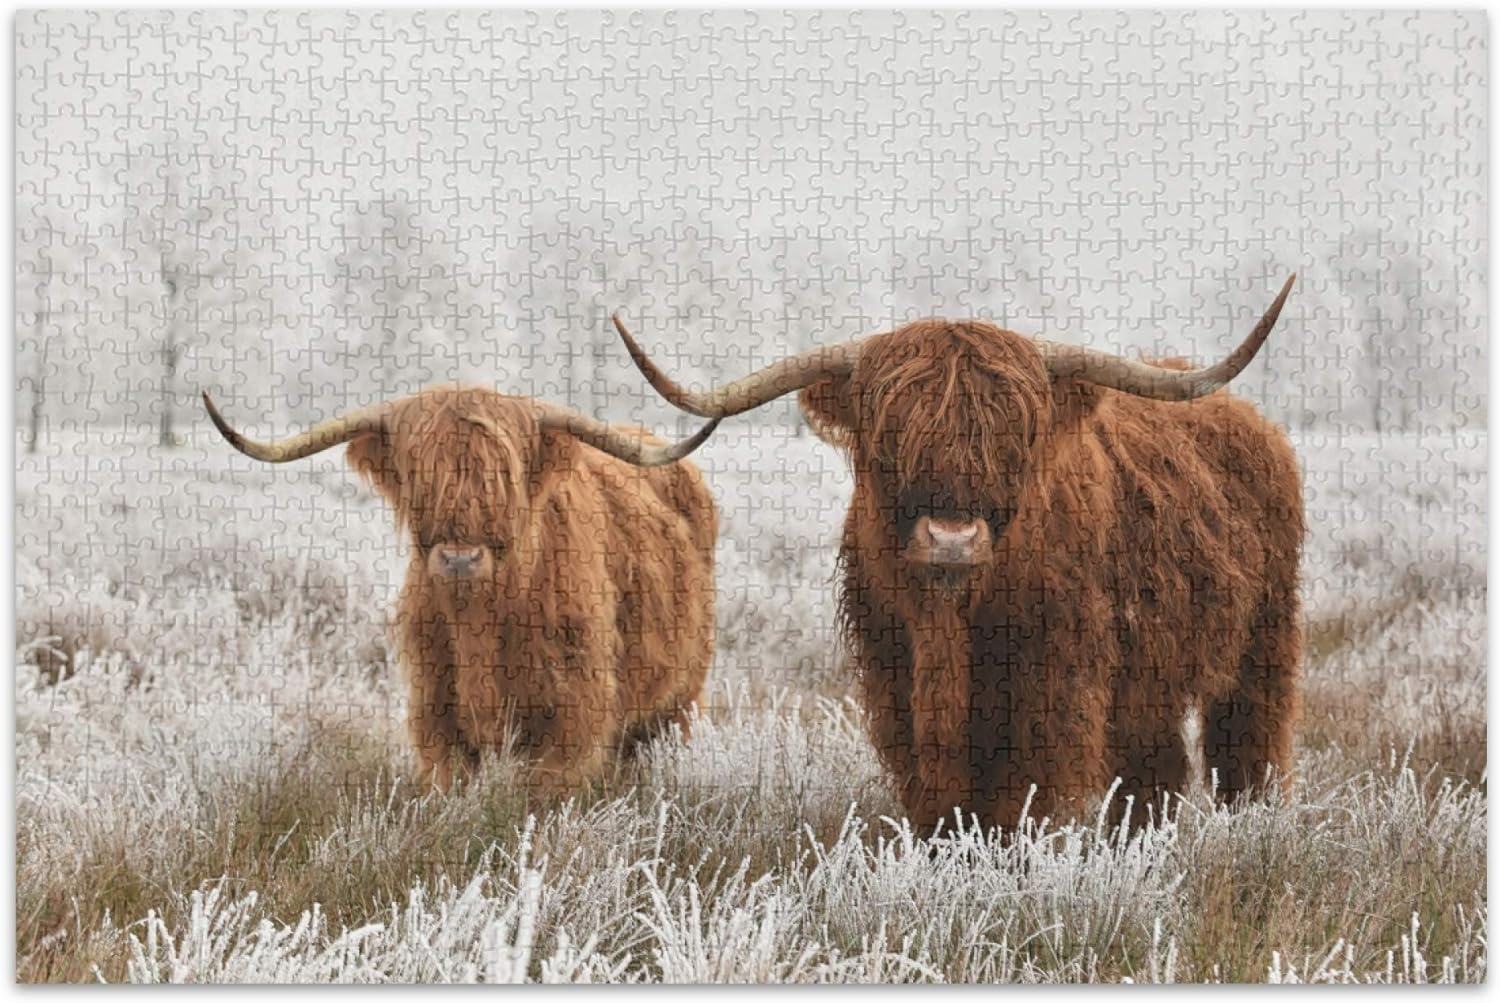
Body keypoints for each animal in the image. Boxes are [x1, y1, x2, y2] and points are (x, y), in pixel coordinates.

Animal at [203, 385, 720, 796]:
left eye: (504, 478)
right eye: (419, 477)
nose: (459, 559)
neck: (481, 621)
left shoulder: (571, 723)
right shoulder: (436, 714)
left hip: (679, 698)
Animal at [610, 275, 1302, 831]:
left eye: (1014, 437)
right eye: (889, 436)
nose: (951, 539)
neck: (953, 620)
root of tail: (1253, 423)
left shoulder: (1055, 687)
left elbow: (1024, 801)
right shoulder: (895, 681)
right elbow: (938, 800)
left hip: (1264, 642)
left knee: (1247, 747)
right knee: (1156, 770)